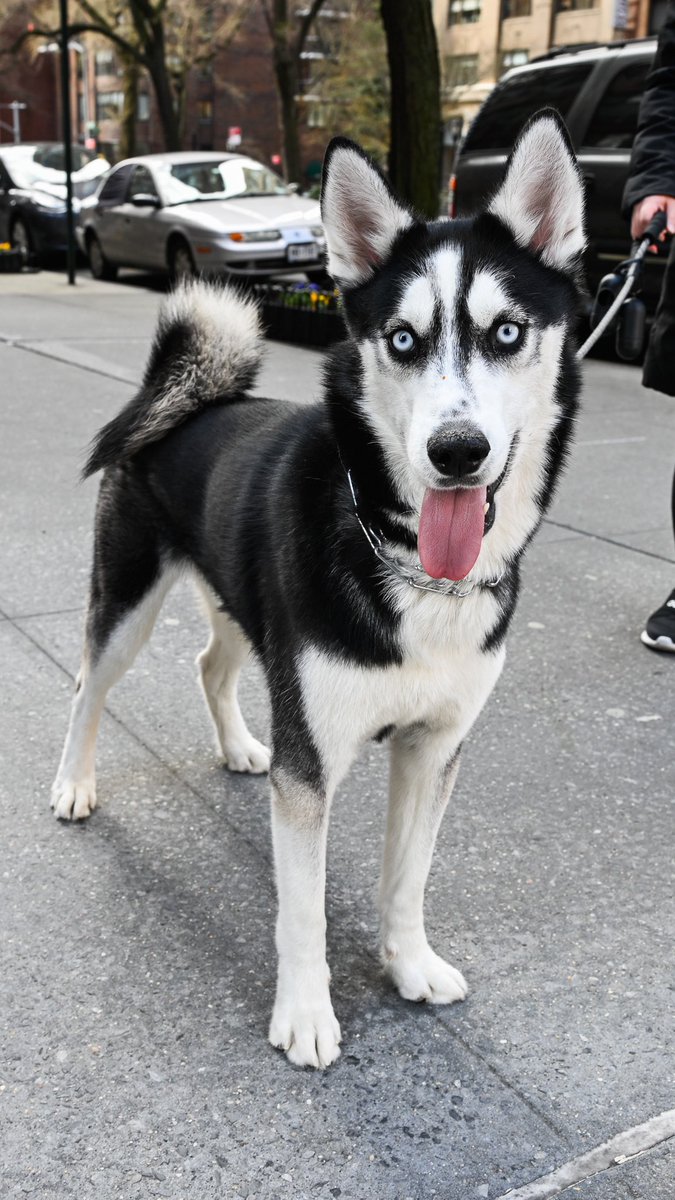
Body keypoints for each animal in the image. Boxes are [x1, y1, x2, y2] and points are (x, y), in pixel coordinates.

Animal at [53, 112, 583, 1070]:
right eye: (402, 339)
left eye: (506, 332)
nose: (456, 452)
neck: (409, 564)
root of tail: (183, 394)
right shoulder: (310, 766)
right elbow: (299, 911)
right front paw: (303, 1013)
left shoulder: (432, 746)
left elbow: (408, 876)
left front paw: (408, 963)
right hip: (129, 599)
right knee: (89, 686)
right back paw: (73, 785)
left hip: (242, 607)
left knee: (209, 666)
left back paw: (237, 746)